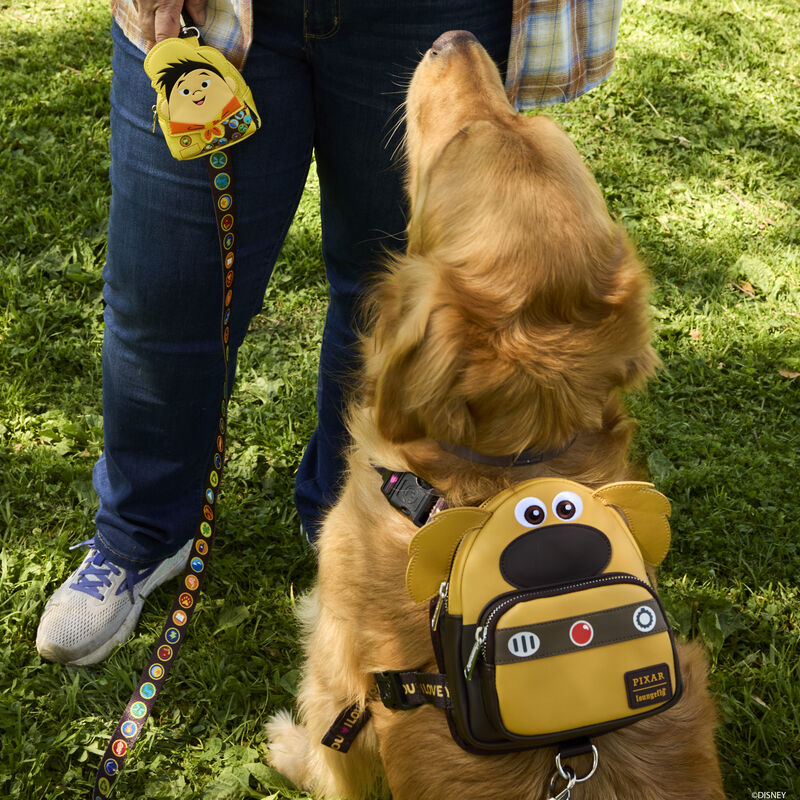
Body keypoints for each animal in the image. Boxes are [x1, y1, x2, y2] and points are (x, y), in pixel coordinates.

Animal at [268, 29, 724, 800]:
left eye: (462, 143)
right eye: (522, 122)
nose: (457, 36)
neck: (509, 462)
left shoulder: (336, 671)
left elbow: (329, 758)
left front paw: (286, 749)